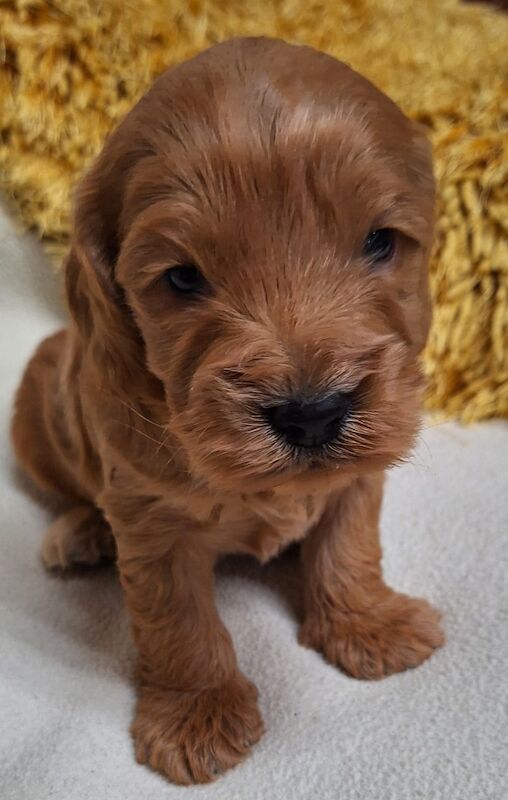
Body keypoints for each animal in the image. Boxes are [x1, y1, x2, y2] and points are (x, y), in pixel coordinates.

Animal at [11, 37, 442, 788]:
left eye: (380, 242)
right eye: (183, 278)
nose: (312, 415)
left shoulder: (361, 476)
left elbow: (349, 545)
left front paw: (369, 624)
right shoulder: (151, 520)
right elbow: (179, 620)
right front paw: (196, 714)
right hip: (35, 414)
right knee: (71, 493)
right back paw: (80, 533)